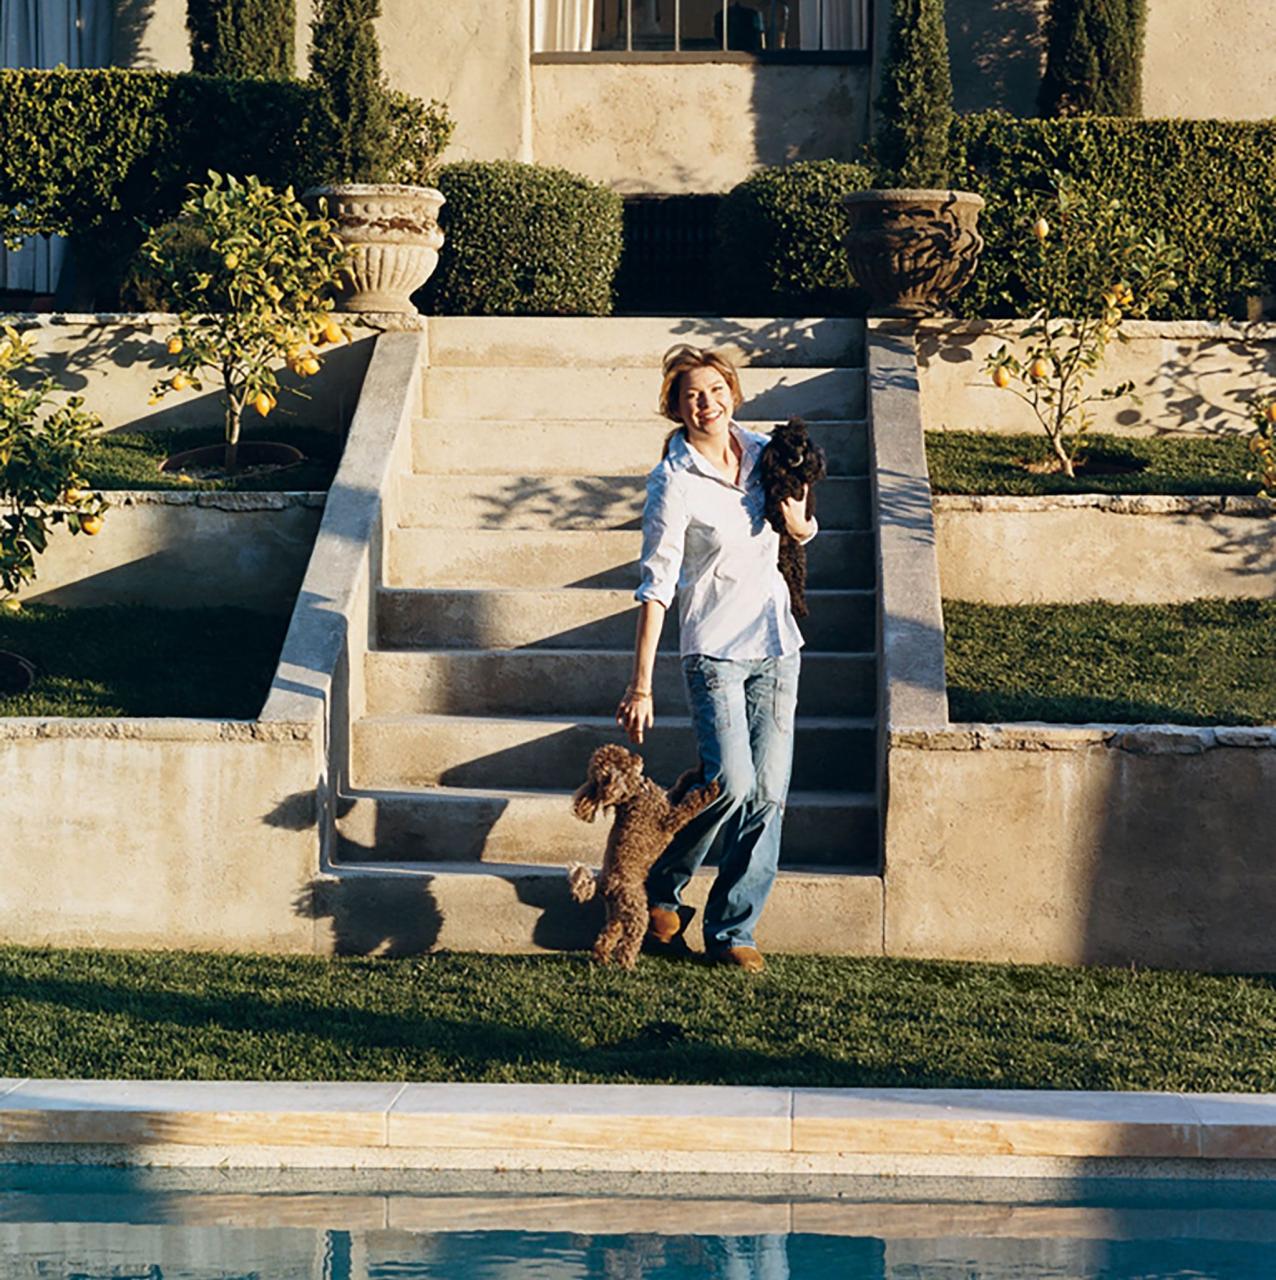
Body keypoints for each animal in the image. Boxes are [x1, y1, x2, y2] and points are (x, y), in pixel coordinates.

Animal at [757, 419, 824, 619]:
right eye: (786, 444)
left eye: (803, 445)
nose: (796, 458)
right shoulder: (774, 482)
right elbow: (778, 487)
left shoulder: (802, 489)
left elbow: (793, 485)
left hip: (795, 558)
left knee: (795, 583)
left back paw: (800, 608)